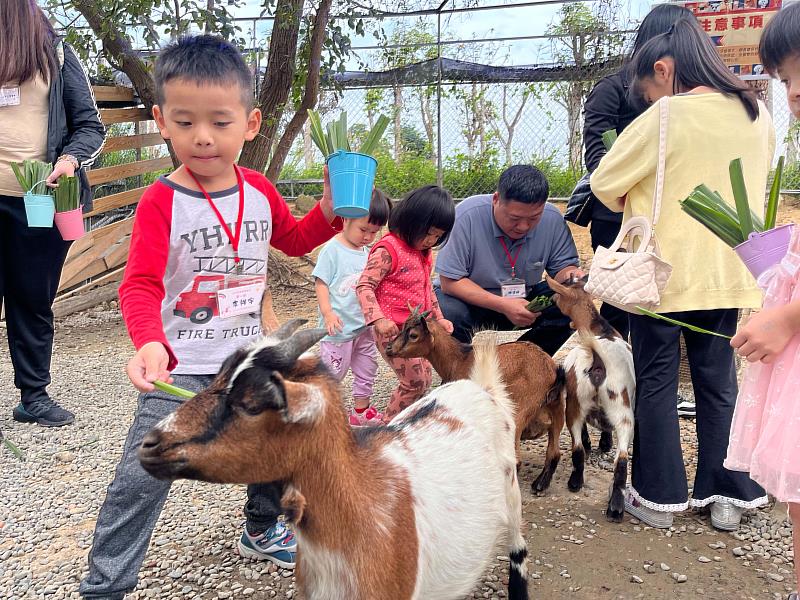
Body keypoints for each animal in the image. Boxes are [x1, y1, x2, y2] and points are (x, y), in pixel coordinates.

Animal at [384, 314, 564, 492]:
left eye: (413, 335)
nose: (389, 348)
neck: (458, 359)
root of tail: (550, 370)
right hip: (557, 407)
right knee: (554, 452)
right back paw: (540, 484)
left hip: (520, 408)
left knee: (516, 459)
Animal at [548, 276, 636, 520]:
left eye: (557, 296)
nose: (551, 299)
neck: (600, 328)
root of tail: (597, 360)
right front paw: (604, 444)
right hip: (623, 411)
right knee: (621, 459)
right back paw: (615, 508)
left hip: (576, 406)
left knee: (578, 449)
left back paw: (576, 483)